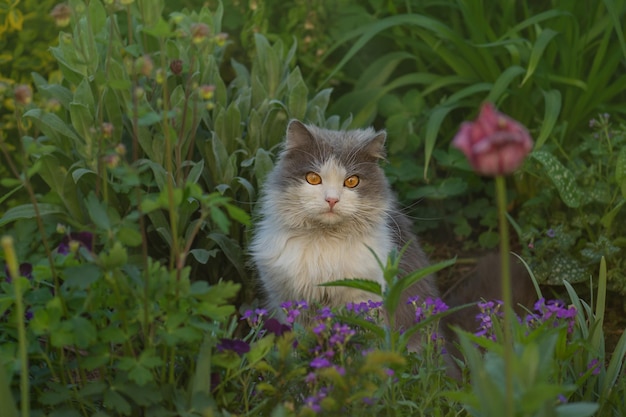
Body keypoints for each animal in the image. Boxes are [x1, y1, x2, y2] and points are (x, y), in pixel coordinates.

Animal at [249, 119, 532, 348]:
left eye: (352, 181)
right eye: (313, 178)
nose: (331, 200)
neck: (325, 244)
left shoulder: (363, 297)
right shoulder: (286, 299)